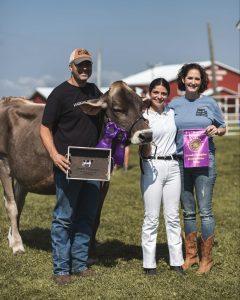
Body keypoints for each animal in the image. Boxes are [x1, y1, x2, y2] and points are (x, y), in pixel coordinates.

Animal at [0, 82, 152, 255]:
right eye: (118, 109)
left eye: (142, 107)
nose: (147, 135)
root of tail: (10, 99)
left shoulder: (104, 182)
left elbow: (95, 216)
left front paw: (90, 253)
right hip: (4, 163)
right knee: (11, 205)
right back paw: (17, 244)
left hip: (24, 172)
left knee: (19, 202)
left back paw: (12, 237)